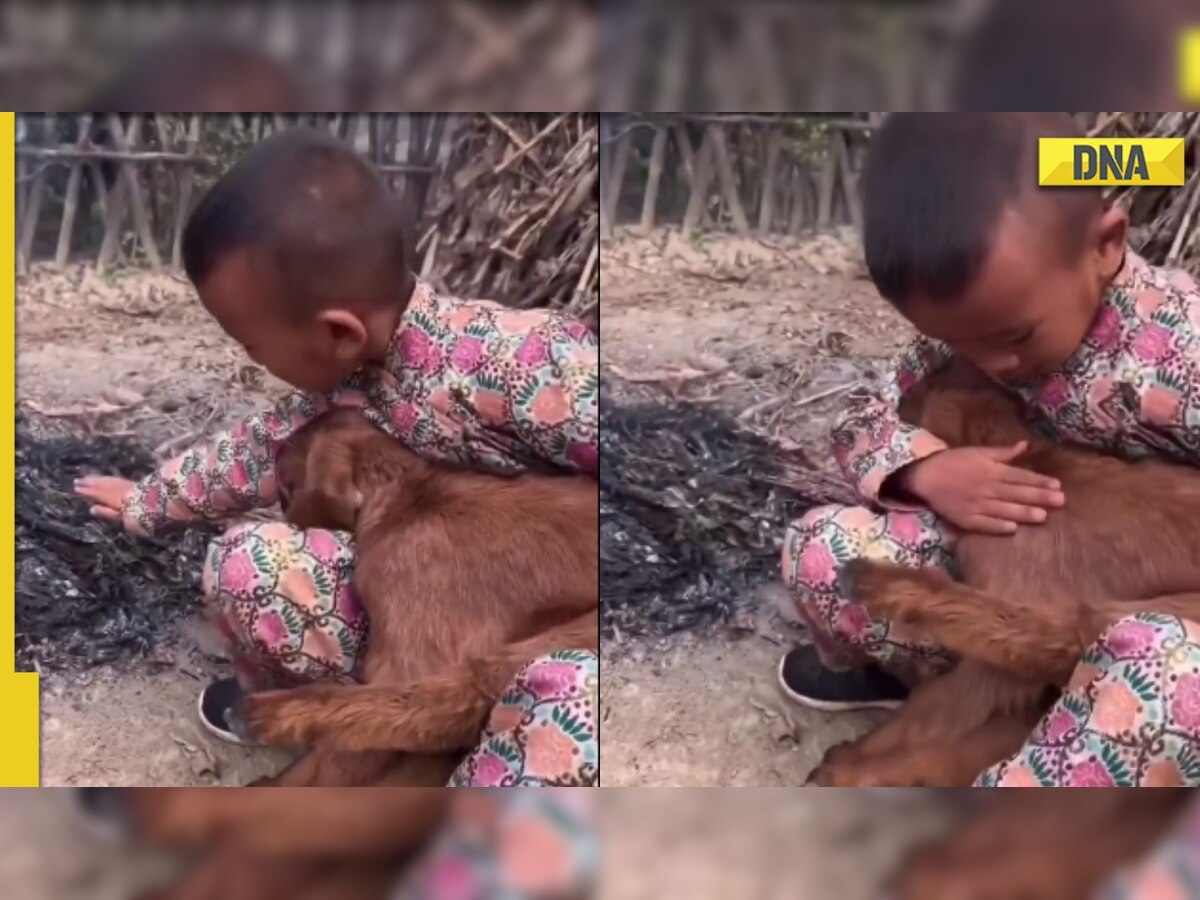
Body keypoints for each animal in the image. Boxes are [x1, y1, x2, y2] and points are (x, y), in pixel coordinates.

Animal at [238, 410, 600, 787]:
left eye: (283, 481)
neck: (408, 498)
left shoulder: (410, 649)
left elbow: (350, 757)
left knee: (448, 704)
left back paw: (271, 717)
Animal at [806, 362, 1200, 787]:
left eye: (920, 393)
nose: (900, 395)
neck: (1031, 463)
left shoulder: (1011, 614)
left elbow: (938, 709)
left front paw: (852, 766)